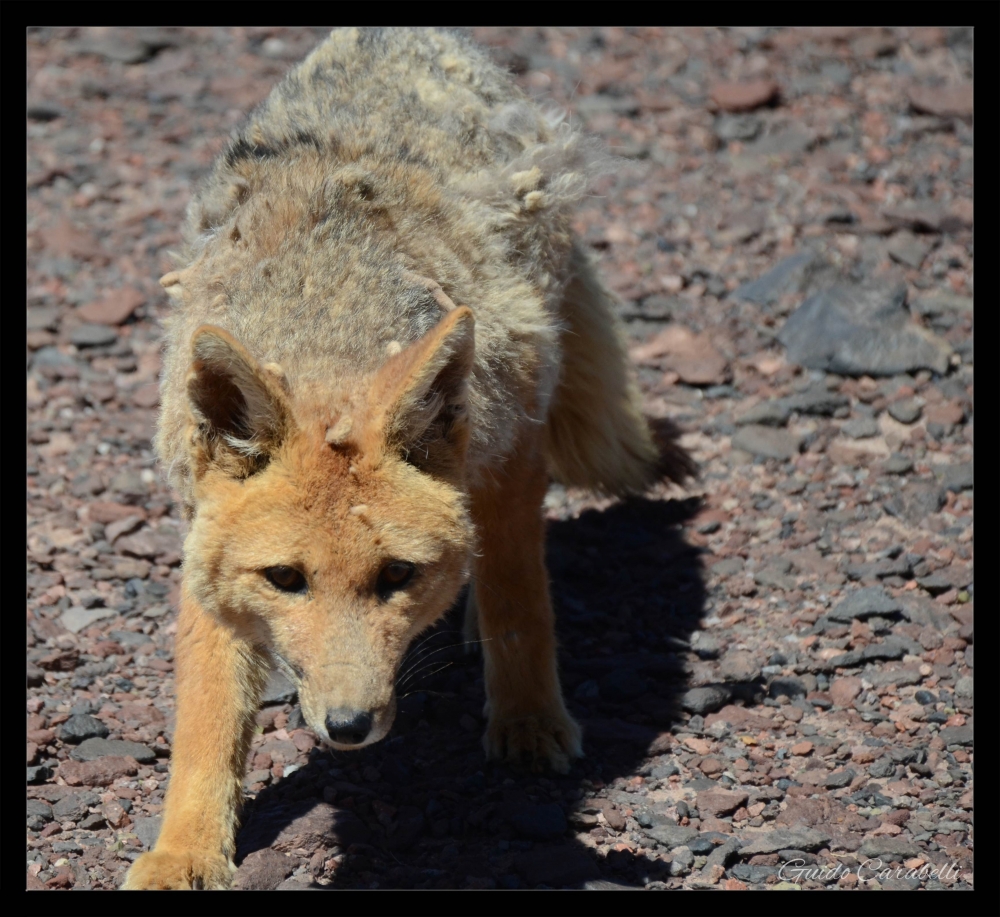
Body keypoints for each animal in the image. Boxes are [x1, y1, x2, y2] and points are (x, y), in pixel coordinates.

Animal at [121, 26, 692, 888]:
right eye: (284, 578)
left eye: (397, 575)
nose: (349, 725)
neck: (329, 320)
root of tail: (393, 33)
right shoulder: (203, 542)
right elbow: (206, 714)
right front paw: (185, 848)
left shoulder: (509, 457)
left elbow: (520, 599)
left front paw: (529, 718)